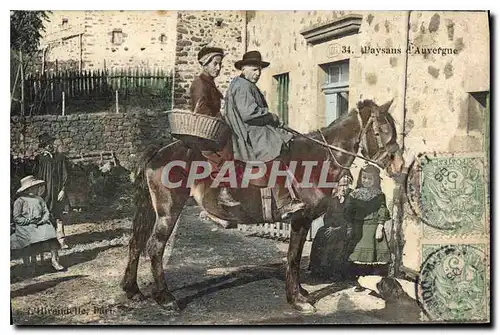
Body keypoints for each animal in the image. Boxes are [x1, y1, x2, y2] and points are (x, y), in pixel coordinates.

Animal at [122, 98, 406, 314]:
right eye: (379, 131)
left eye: (394, 129)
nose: (400, 165)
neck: (317, 160)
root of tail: (161, 149)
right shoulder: (300, 219)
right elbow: (292, 259)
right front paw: (297, 299)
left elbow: (293, 258)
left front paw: (301, 293)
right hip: (168, 212)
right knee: (155, 247)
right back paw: (165, 298)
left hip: (154, 212)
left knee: (136, 243)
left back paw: (132, 289)